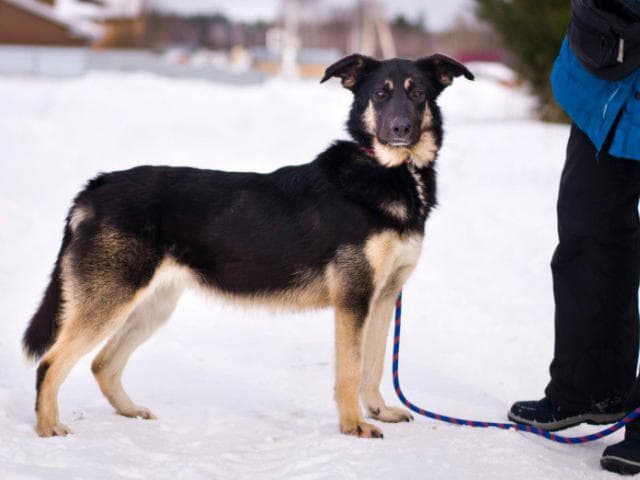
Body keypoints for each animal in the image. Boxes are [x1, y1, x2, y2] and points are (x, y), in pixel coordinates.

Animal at [22, 53, 472, 438]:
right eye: (380, 93)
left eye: (418, 94)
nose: (400, 130)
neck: (391, 171)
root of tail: (94, 188)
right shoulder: (353, 300)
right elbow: (350, 370)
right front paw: (353, 425)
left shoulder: (383, 298)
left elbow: (374, 365)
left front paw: (378, 411)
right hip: (110, 300)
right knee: (50, 363)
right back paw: (48, 428)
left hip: (151, 306)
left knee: (102, 362)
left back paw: (129, 411)